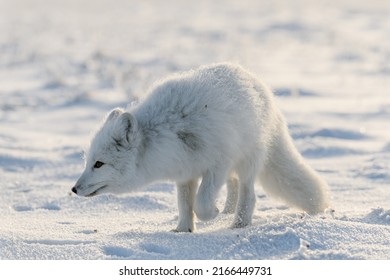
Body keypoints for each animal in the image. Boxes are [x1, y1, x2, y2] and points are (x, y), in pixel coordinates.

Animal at [72, 63, 330, 232]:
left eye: (99, 164)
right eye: (88, 161)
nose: (74, 189)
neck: (166, 132)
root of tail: (261, 86)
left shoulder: (217, 165)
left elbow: (201, 203)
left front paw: (211, 214)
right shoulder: (185, 172)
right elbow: (185, 204)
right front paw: (182, 231)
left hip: (247, 160)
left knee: (248, 192)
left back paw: (238, 223)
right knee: (234, 184)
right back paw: (227, 211)